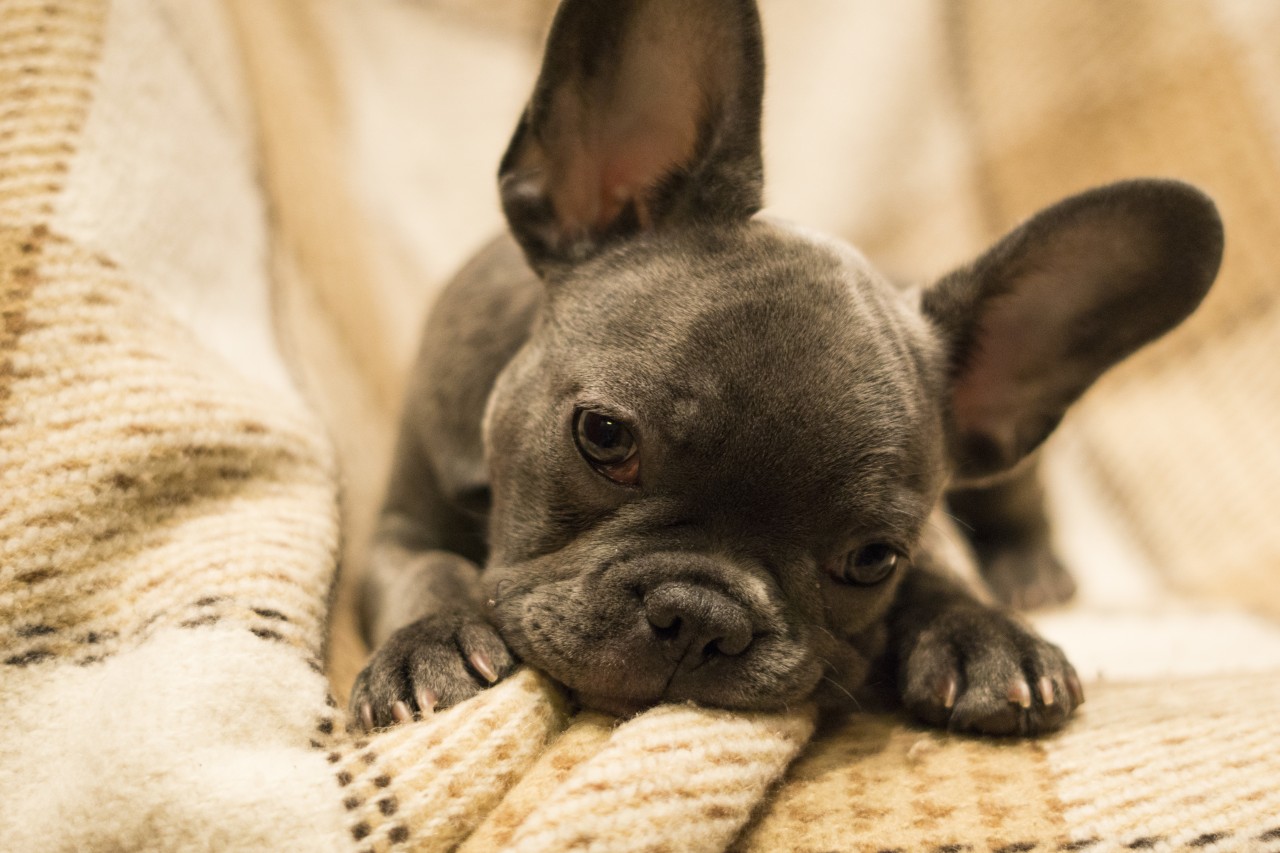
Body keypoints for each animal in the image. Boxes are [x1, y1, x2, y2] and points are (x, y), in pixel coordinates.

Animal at [348, 0, 1218, 732]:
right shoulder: (396, 524)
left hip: (1012, 470)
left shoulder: (931, 527)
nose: (700, 614)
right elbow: (421, 564)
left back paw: (1030, 571)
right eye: (603, 437)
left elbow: (945, 563)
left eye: (872, 559)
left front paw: (987, 634)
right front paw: (432, 638)